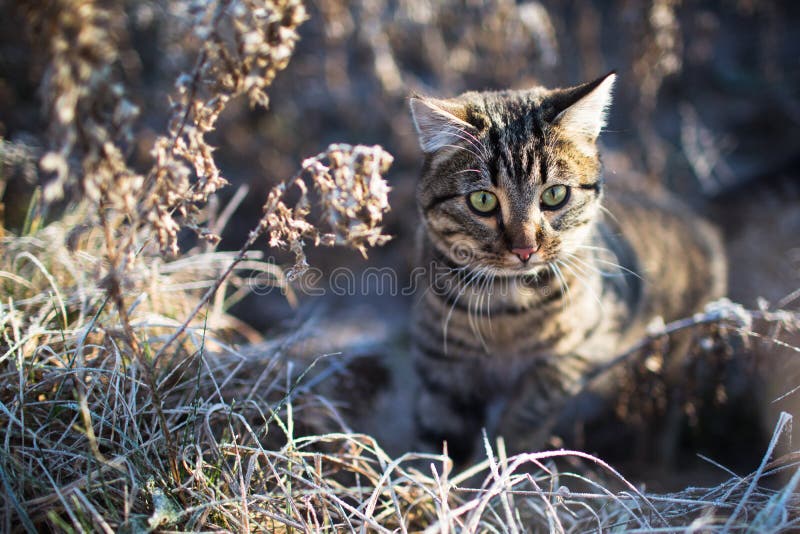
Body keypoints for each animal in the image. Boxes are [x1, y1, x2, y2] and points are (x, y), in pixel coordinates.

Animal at [410, 72, 728, 464]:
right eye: (482, 200)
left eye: (555, 195)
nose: (525, 249)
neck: (506, 309)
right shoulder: (441, 368)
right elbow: (436, 442)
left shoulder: (588, 344)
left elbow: (533, 405)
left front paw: (506, 459)